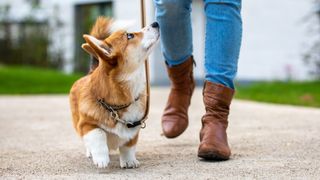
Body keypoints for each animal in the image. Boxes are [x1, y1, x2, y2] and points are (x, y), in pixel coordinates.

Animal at [70, 17, 160, 169]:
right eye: (130, 36)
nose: (156, 23)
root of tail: (90, 72)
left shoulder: (134, 128)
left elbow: (128, 146)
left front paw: (129, 161)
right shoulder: (86, 125)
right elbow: (98, 133)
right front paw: (101, 159)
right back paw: (91, 152)